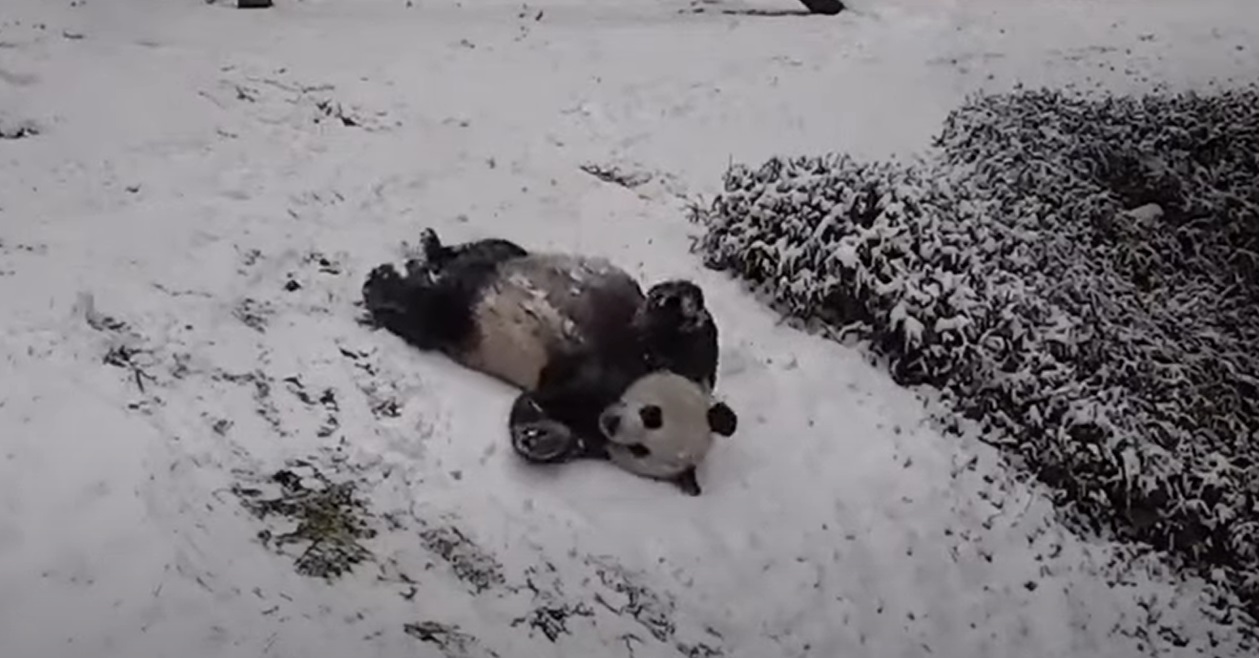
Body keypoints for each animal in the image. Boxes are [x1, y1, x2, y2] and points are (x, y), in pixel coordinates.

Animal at [362, 228, 735, 498]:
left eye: (640, 449)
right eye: (652, 414)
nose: (613, 423)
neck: (625, 382)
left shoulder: (585, 412)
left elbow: (543, 412)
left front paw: (540, 437)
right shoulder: (670, 355)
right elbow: (692, 333)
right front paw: (676, 302)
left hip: (456, 323)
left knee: (429, 314)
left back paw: (387, 289)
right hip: (508, 259)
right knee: (491, 249)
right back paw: (426, 251)